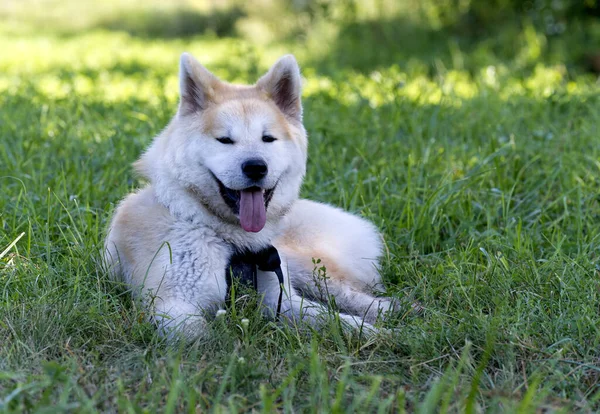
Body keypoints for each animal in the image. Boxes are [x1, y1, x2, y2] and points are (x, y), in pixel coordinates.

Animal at [104, 53, 398, 338]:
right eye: (225, 140)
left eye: (267, 138)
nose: (256, 167)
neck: (232, 243)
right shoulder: (173, 306)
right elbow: (201, 336)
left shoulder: (280, 299)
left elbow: (335, 320)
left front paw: (378, 334)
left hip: (305, 265)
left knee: (345, 293)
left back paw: (388, 310)